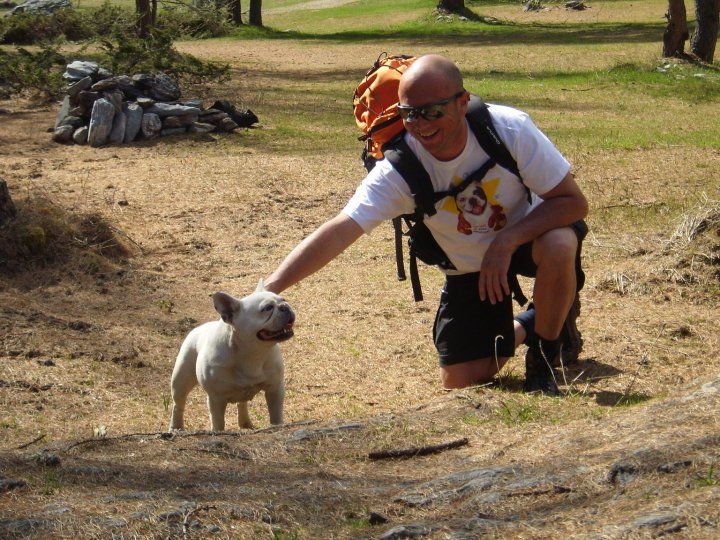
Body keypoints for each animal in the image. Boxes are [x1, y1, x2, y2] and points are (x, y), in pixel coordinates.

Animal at [170, 282, 294, 430]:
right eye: (267, 308)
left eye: (284, 299)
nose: (285, 306)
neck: (252, 352)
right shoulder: (216, 398)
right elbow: (218, 422)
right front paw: (217, 432)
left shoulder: (274, 388)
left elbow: (275, 414)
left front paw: (278, 426)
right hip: (181, 381)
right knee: (178, 404)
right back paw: (175, 427)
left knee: (242, 403)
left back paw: (245, 423)